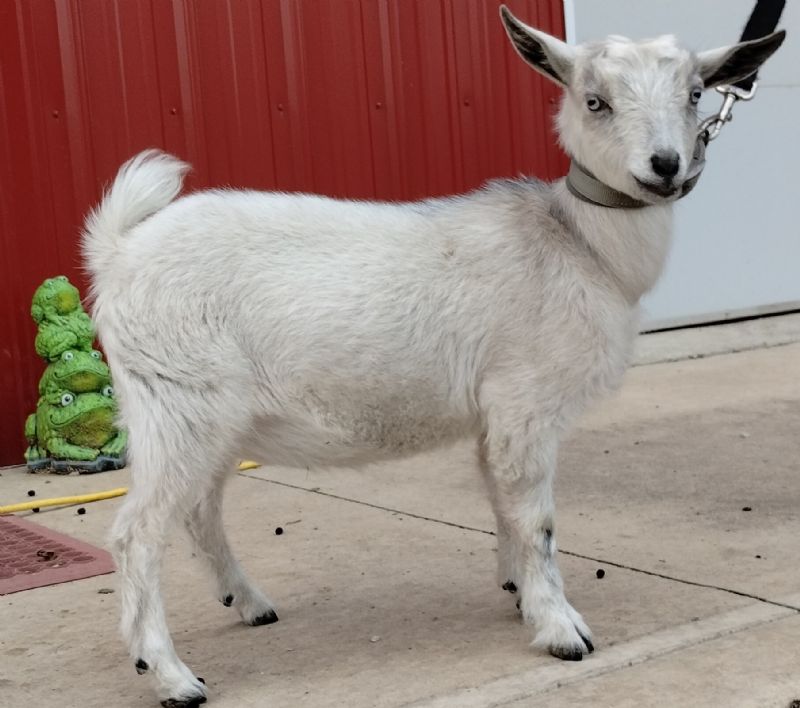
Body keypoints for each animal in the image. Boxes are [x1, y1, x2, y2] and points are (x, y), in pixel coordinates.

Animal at [82, 7, 784, 706]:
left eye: (694, 94)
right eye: (595, 101)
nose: (664, 166)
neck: (578, 245)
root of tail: (119, 252)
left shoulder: (495, 414)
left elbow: (502, 504)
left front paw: (517, 593)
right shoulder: (524, 399)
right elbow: (536, 519)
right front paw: (562, 629)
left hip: (207, 417)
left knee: (200, 511)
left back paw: (249, 602)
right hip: (177, 401)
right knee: (136, 534)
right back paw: (171, 675)